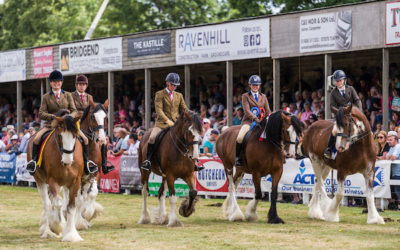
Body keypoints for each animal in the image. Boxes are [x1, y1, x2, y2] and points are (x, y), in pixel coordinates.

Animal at [27, 112, 86, 241]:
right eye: (60, 135)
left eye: (75, 136)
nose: (67, 161)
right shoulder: (53, 181)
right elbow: (57, 204)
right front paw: (57, 226)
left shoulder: (76, 182)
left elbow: (71, 206)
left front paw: (71, 235)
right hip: (40, 180)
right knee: (47, 204)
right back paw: (47, 231)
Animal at [72, 99, 108, 230]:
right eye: (93, 116)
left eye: (105, 117)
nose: (101, 139)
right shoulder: (77, 177)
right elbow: (78, 199)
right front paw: (79, 222)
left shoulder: (94, 173)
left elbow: (92, 193)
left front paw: (88, 214)